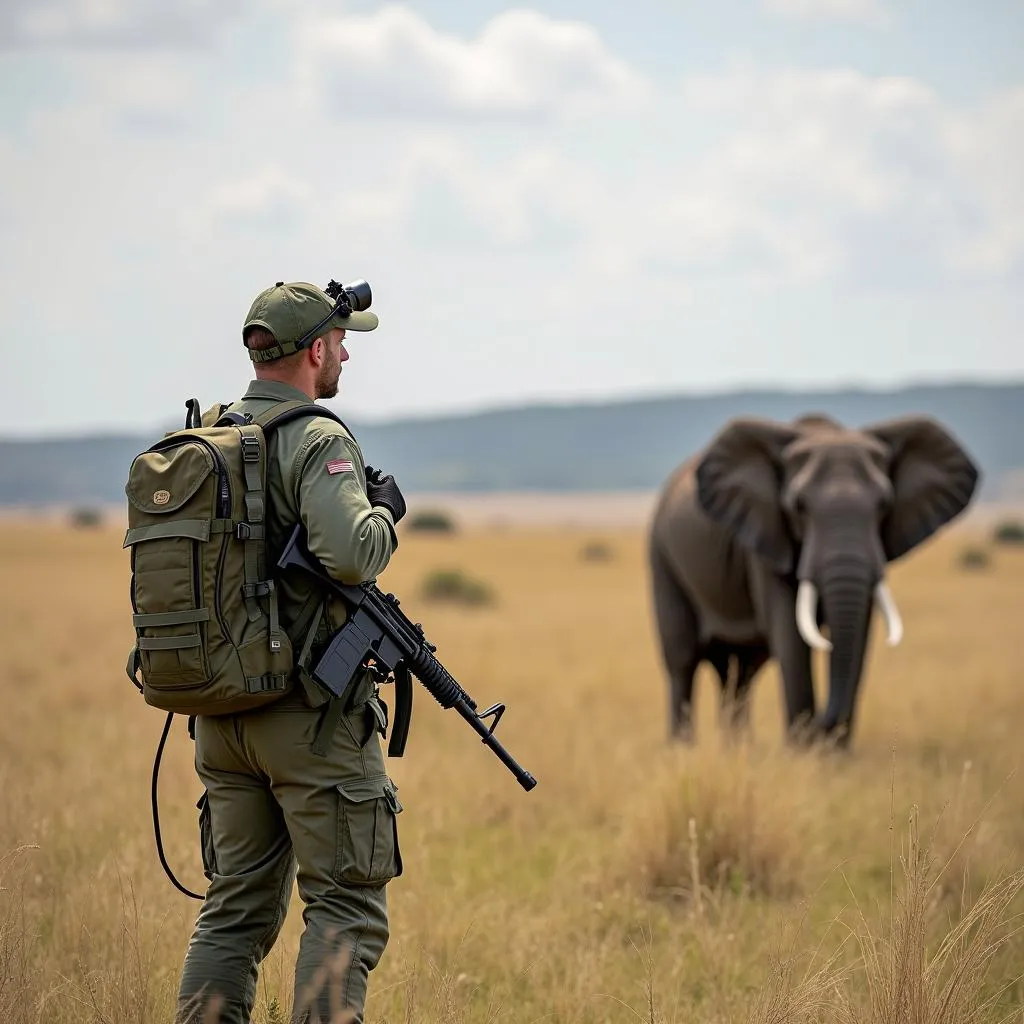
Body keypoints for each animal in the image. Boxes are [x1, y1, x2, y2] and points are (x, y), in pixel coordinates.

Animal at [651, 411, 978, 749]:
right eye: (799, 506)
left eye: (884, 504)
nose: (823, 725)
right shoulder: (766, 538)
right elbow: (791, 636)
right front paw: (803, 752)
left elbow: (860, 636)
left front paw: (835, 756)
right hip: (662, 556)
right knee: (683, 661)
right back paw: (683, 750)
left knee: (743, 672)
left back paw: (739, 749)